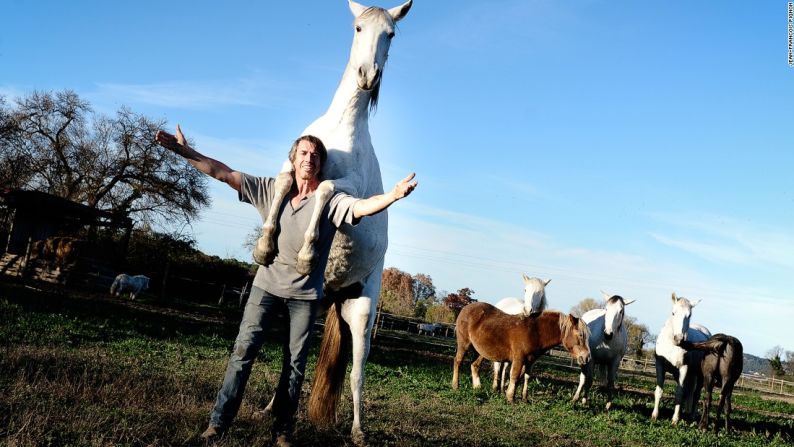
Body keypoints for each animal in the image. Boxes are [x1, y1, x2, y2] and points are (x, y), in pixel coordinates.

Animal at [254, 1, 412, 446]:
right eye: (358, 27)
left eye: (391, 34)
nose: (368, 76)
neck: (341, 129)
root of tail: (341, 293)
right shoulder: (288, 169)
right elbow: (285, 184)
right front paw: (265, 246)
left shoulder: (350, 191)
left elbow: (324, 188)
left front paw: (307, 255)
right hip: (316, 306)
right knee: (292, 360)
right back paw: (269, 409)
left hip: (362, 310)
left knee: (357, 373)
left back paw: (358, 430)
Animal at [452, 302, 588, 404]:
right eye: (581, 335)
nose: (586, 357)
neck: (535, 331)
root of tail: (465, 308)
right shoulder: (519, 358)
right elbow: (515, 376)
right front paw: (510, 397)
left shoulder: (530, 361)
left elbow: (526, 377)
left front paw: (524, 398)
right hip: (464, 344)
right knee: (458, 362)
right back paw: (455, 385)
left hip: (481, 350)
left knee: (475, 365)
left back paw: (477, 387)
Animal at [648, 292, 712, 426]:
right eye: (673, 313)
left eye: (689, 315)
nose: (679, 338)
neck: (672, 345)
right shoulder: (660, 365)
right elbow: (659, 391)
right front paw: (655, 415)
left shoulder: (684, 368)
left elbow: (679, 393)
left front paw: (675, 420)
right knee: (688, 393)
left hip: (699, 375)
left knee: (695, 395)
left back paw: (691, 416)